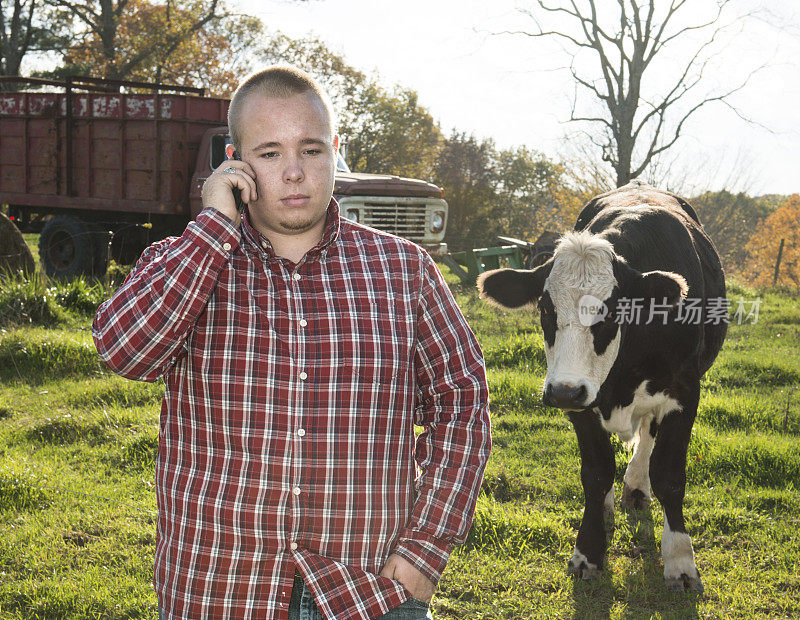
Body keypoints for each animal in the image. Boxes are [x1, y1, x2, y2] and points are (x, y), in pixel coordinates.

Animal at [478, 179, 728, 592]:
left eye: (611, 312)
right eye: (545, 309)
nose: (564, 391)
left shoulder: (684, 392)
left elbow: (669, 475)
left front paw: (680, 561)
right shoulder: (579, 403)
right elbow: (595, 473)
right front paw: (589, 550)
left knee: (647, 438)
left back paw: (637, 487)